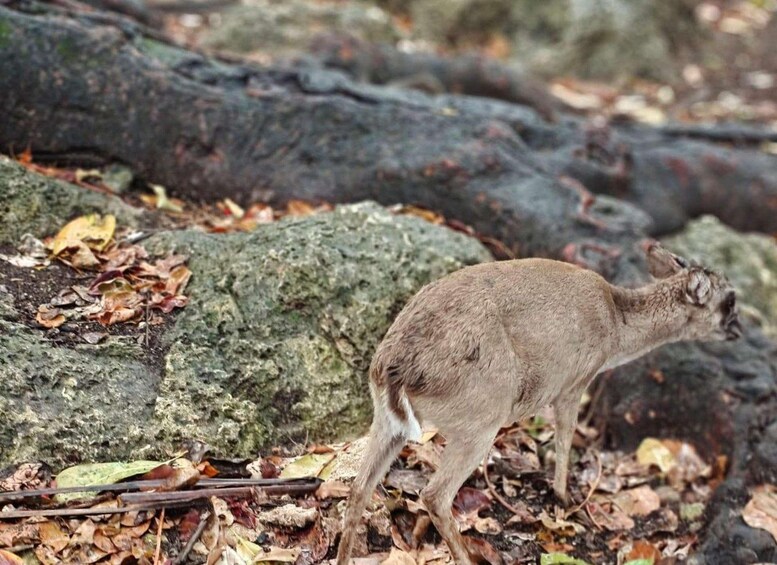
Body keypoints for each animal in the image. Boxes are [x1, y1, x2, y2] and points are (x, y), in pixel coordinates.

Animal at [335, 242, 741, 565]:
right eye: (730, 301)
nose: (738, 330)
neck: (618, 326)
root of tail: (394, 367)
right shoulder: (574, 382)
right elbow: (565, 437)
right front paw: (562, 498)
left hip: (388, 422)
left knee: (359, 487)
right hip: (481, 419)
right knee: (435, 495)